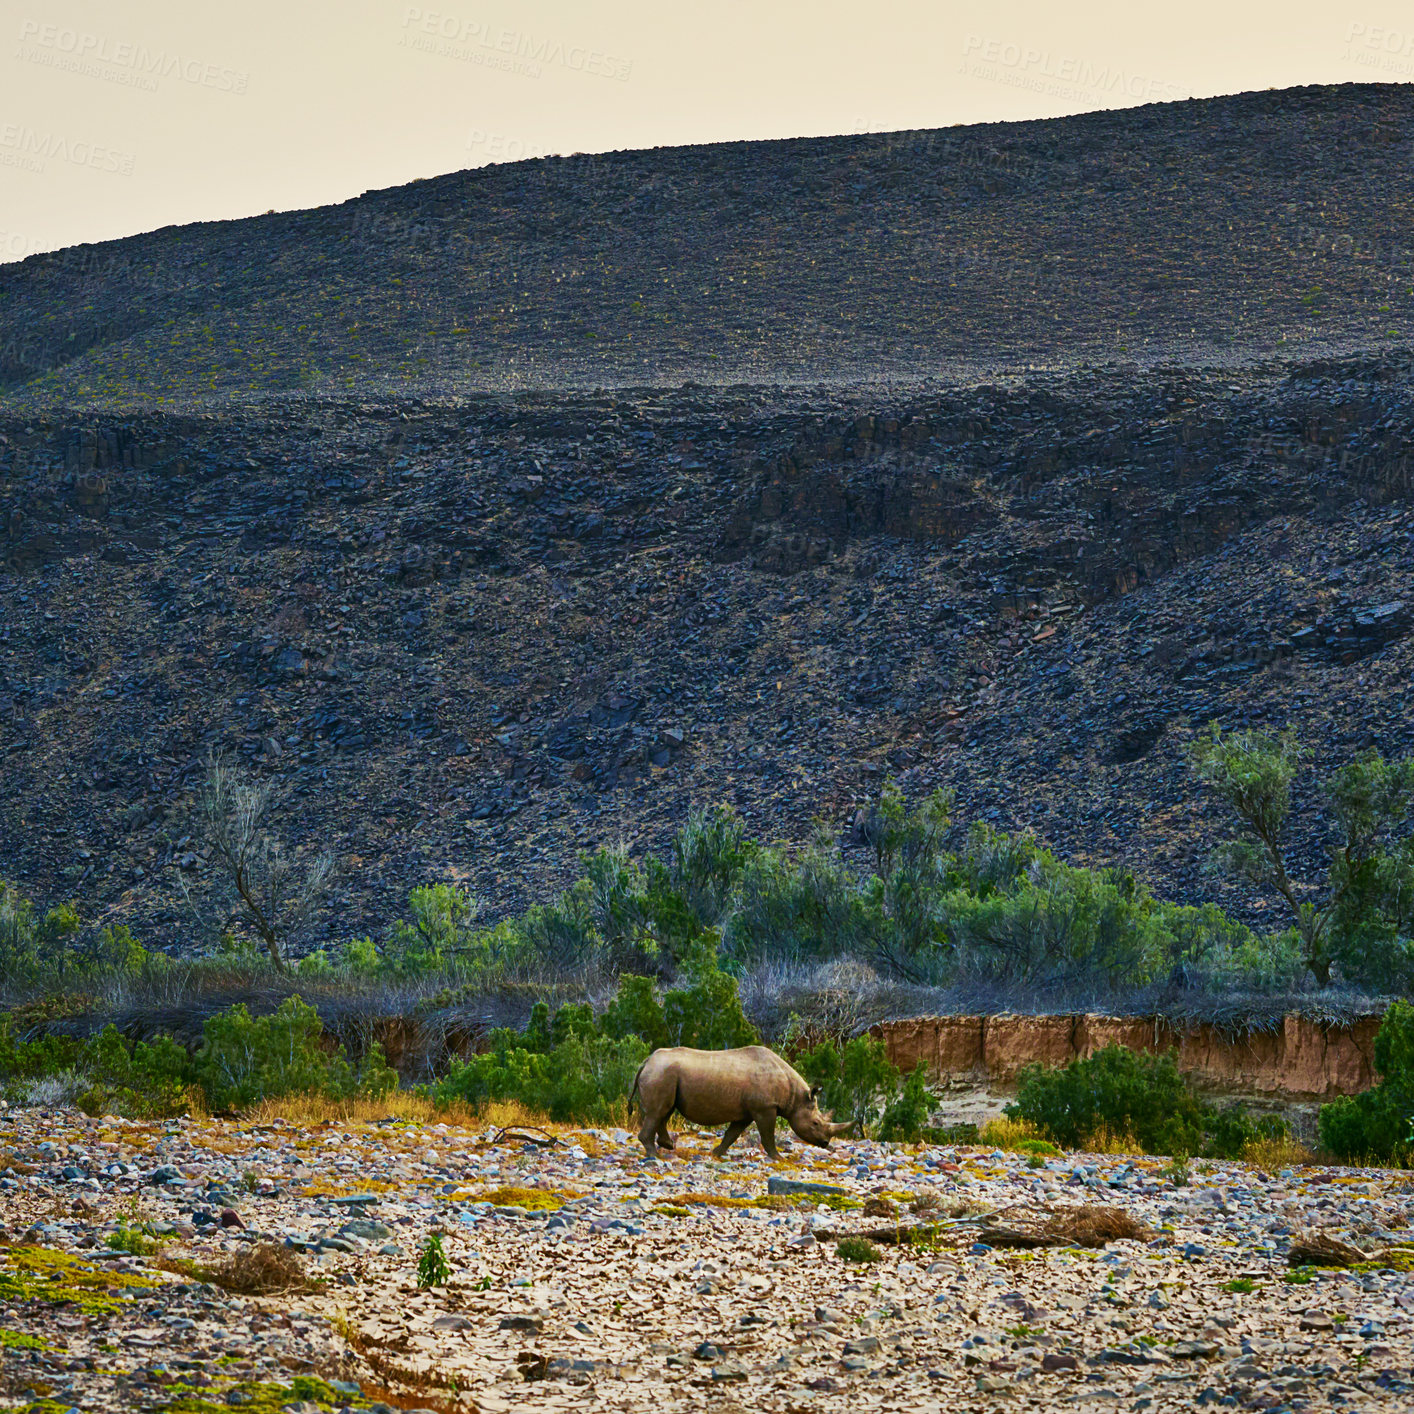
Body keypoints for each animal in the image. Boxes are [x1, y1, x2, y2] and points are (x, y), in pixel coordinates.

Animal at [630, 1046, 848, 1153]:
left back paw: (667, 1146)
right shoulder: (765, 1108)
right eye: (816, 1123)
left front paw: (716, 1153)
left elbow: (732, 1134)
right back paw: (654, 1156)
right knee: (659, 1111)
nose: (826, 1143)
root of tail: (646, 1061)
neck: (795, 1096)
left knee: (664, 1110)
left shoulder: (747, 1112)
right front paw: (777, 1157)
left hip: (665, 1074)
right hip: (661, 1073)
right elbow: (767, 1136)